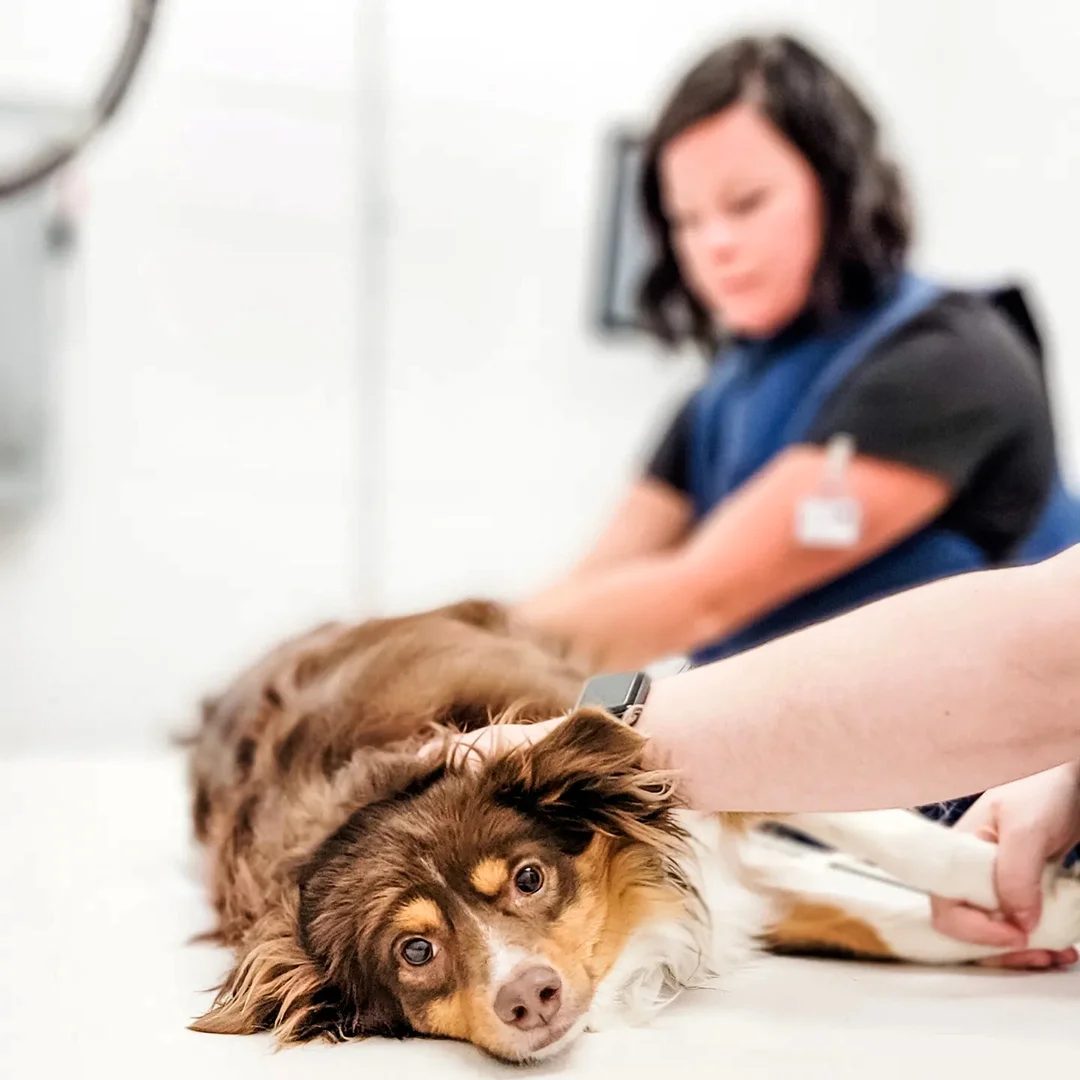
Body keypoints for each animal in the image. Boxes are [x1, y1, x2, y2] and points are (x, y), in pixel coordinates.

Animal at [185, 600, 1080, 1062]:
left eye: (528, 878)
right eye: (414, 951)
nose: (529, 995)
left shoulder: (653, 761)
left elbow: (886, 836)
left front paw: (1023, 885)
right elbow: (875, 919)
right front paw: (1032, 922)